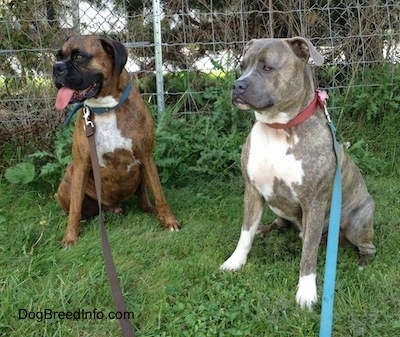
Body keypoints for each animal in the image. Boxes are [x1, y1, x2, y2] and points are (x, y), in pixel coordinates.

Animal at [52, 35, 180, 245]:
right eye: (58, 56)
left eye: (79, 56)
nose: (56, 67)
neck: (105, 108)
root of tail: (112, 205)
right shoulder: (81, 163)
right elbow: (75, 209)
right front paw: (70, 237)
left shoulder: (146, 156)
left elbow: (159, 193)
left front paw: (169, 221)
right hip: (67, 182)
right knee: (78, 208)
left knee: (143, 198)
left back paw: (149, 209)